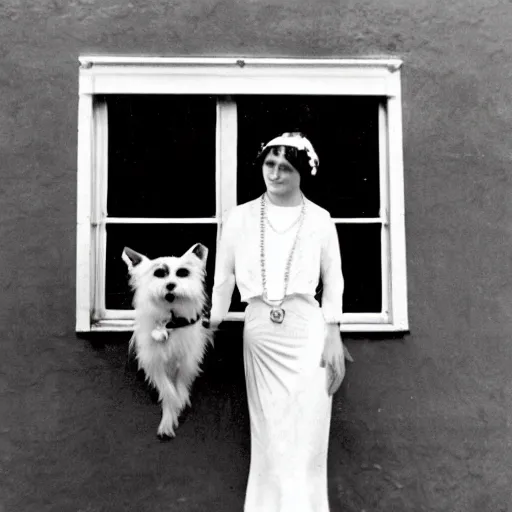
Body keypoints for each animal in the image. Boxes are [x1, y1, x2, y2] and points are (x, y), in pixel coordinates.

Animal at [122, 244, 212, 440]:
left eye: (183, 273)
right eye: (159, 273)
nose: (170, 285)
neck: (170, 322)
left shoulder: (187, 361)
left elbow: (180, 385)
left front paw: (180, 401)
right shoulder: (154, 362)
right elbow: (168, 391)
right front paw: (169, 418)